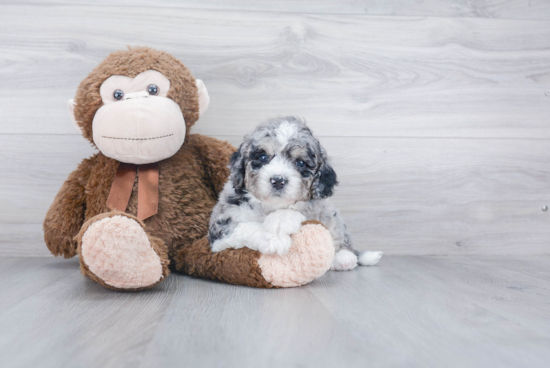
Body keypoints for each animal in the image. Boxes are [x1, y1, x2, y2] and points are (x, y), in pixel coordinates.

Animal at [208, 117, 384, 270]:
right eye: (263, 157)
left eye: (300, 163)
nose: (278, 180)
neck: (271, 206)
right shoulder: (220, 229)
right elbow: (244, 226)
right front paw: (273, 239)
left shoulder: (316, 207)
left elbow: (294, 211)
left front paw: (278, 225)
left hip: (332, 216)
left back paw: (344, 258)